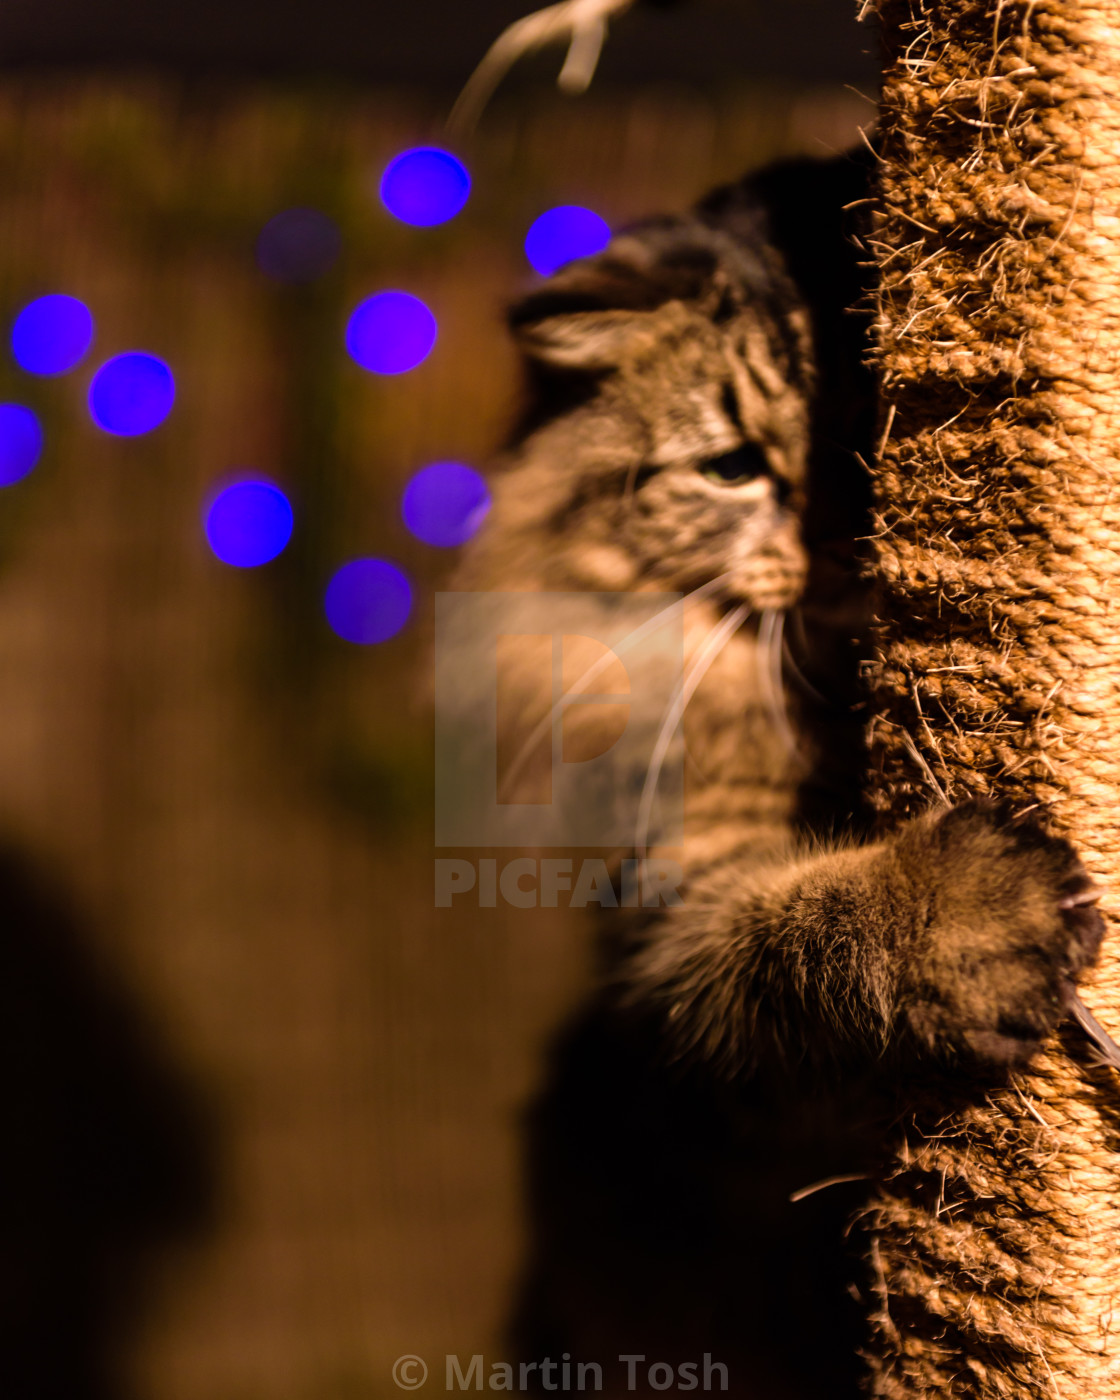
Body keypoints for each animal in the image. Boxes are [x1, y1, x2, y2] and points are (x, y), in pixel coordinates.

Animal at [445, 144, 1103, 1400]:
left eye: (881, 442)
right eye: (732, 467)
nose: (840, 548)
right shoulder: (674, 925)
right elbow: (806, 934)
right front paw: (964, 912)